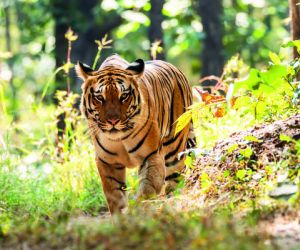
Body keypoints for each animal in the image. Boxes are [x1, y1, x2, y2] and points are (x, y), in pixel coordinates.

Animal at [75, 54, 195, 213]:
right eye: (100, 97)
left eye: (124, 96)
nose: (113, 121)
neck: (119, 138)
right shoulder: (107, 162)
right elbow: (114, 196)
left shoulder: (152, 156)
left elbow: (147, 189)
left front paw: (137, 211)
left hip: (175, 151)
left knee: (175, 182)